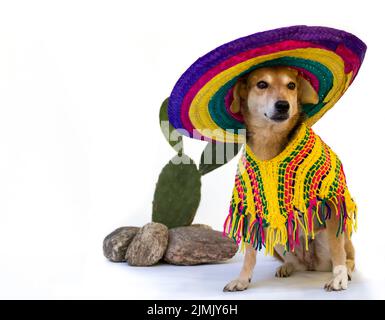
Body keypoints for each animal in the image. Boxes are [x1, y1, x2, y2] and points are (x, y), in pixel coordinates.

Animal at [222, 67, 354, 292]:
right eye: (262, 84)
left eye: (291, 85)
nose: (283, 105)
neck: (269, 140)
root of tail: (310, 265)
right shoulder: (251, 205)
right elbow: (249, 254)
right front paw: (242, 279)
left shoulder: (332, 202)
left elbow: (338, 250)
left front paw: (339, 279)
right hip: (276, 235)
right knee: (293, 262)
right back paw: (286, 267)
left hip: (331, 233)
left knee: (347, 256)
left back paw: (347, 271)